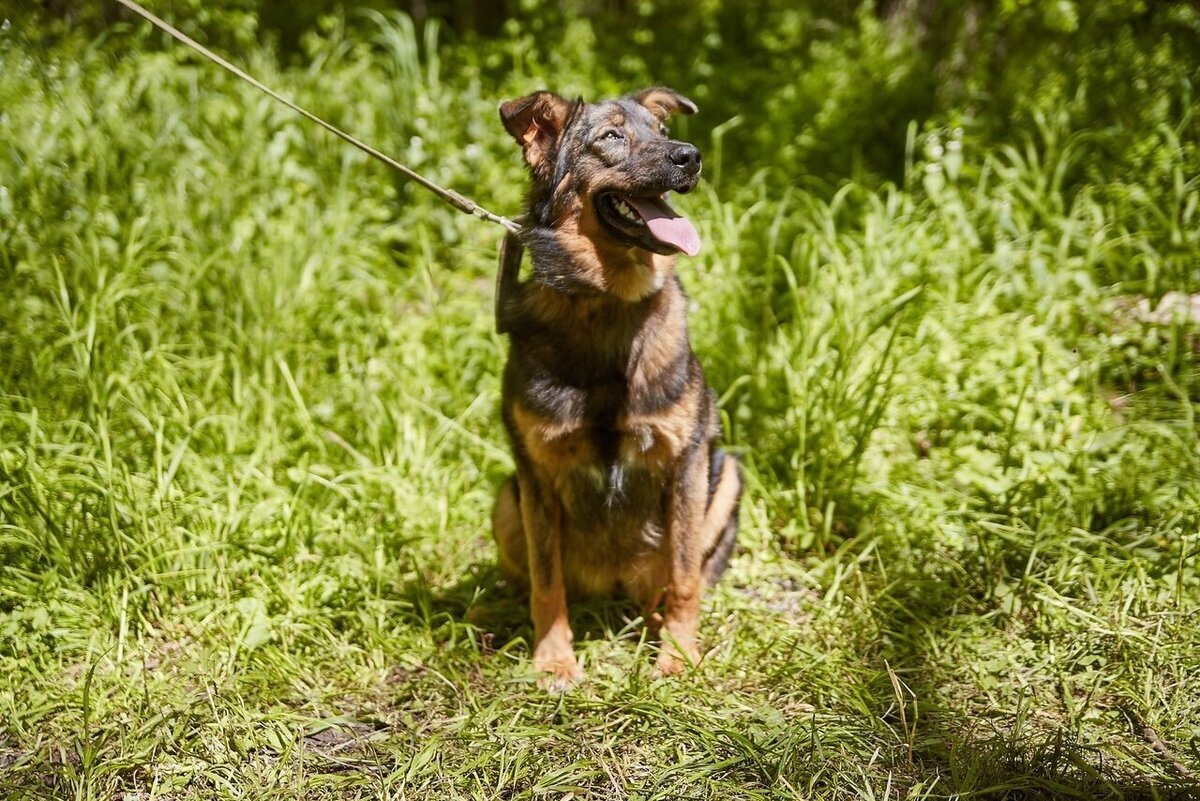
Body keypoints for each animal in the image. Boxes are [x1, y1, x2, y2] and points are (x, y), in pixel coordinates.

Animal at [489, 86, 739, 690]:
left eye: (661, 129)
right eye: (611, 137)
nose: (690, 156)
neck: (606, 302)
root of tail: (614, 587)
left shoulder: (687, 459)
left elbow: (684, 577)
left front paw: (678, 655)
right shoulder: (535, 470)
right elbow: (547, 583)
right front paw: (554, 659)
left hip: (725, 481)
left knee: (671, 581)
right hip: (506, 498)